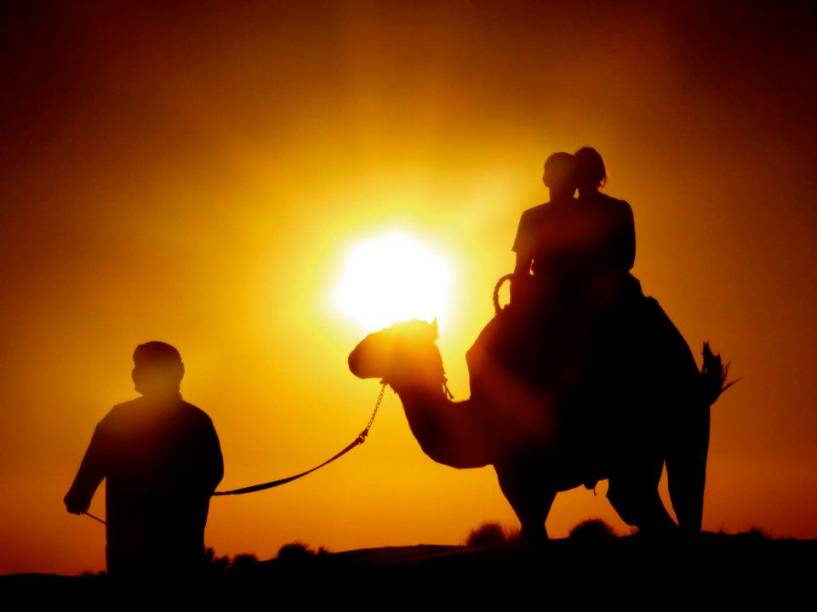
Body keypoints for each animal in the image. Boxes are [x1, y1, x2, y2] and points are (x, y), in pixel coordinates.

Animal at [348, 294, 728, 548]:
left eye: (393, 338)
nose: (354, 356)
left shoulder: (520, 473)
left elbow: (533, 530)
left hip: (641, 446)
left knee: (636, 500)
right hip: (681, 433)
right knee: (675, 499)